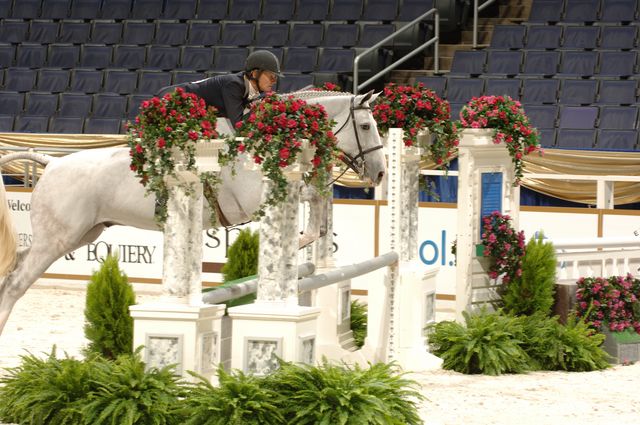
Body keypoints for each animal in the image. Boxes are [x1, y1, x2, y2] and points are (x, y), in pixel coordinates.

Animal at [0, 90, 384, 334]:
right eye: (366, 126)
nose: (379, 174)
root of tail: (51, 163)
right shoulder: (251, 199)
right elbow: (311, 195)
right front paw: (302, 239)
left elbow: (317, 200)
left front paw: (308, 242)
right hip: (58, 238)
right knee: (17, 283)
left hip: (80, 235)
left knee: (19, 261)